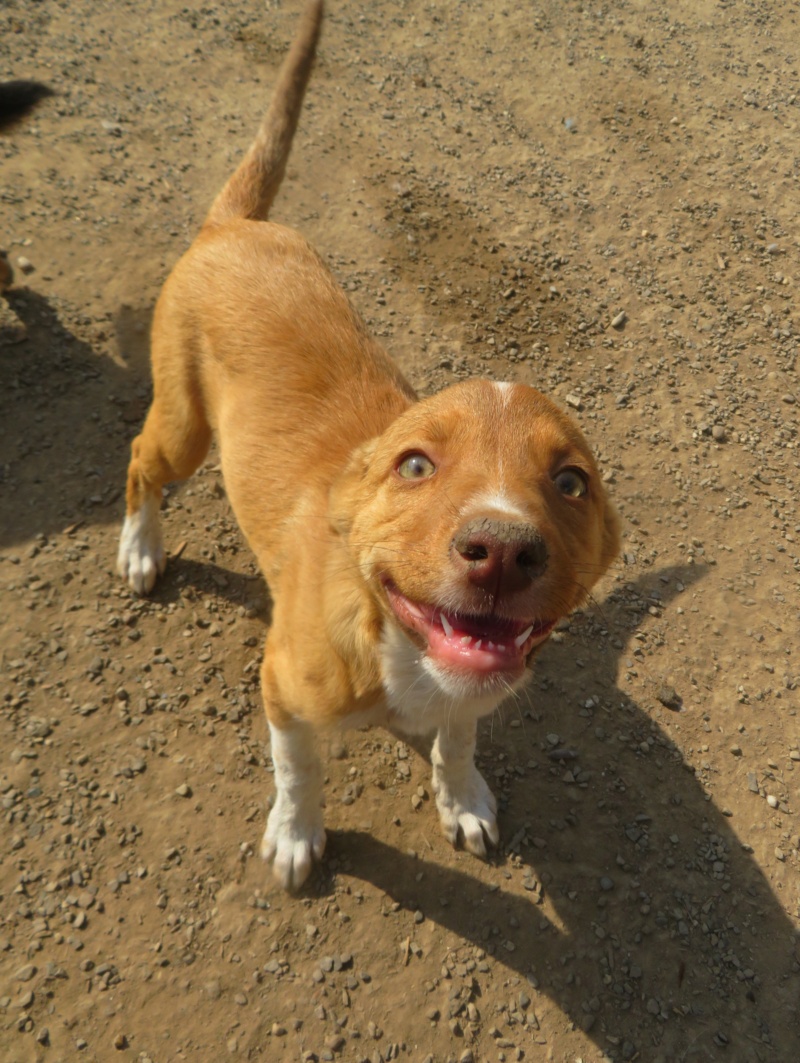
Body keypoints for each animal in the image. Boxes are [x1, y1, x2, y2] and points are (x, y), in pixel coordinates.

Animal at [116, 0, 616, 892]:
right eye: (414, 464)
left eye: (571, 482)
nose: (501, 550)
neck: (406, 653)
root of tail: (236, 225)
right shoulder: (282, 687)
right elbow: (299, 769)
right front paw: (296, 834)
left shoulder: (471, 693)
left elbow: (458, 740)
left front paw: (462, 796)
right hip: (182, 425)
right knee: (142, 458)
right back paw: (139, 548)